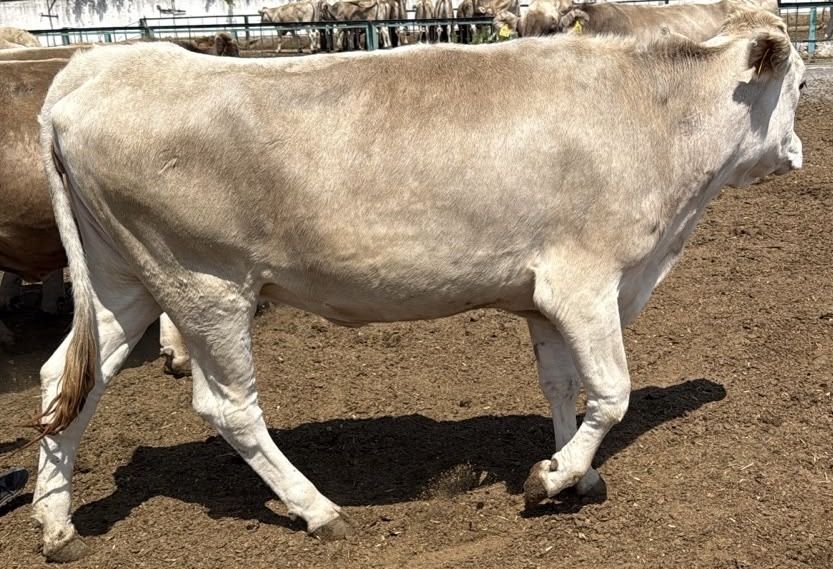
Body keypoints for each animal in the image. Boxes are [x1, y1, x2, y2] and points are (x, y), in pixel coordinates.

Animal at [31, 7, 803, 560]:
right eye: (799, 86)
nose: (796, 151)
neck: (648, 113)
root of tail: (96, 68)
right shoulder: (585, 282)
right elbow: (611, 393)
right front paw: (551, 477)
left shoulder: (542, 296)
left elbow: (561, 388)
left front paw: (570, 471)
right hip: (203, 284)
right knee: (229, 408)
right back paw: (319, 509)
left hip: (122, 280)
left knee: (68, 381)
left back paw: (56, 523)